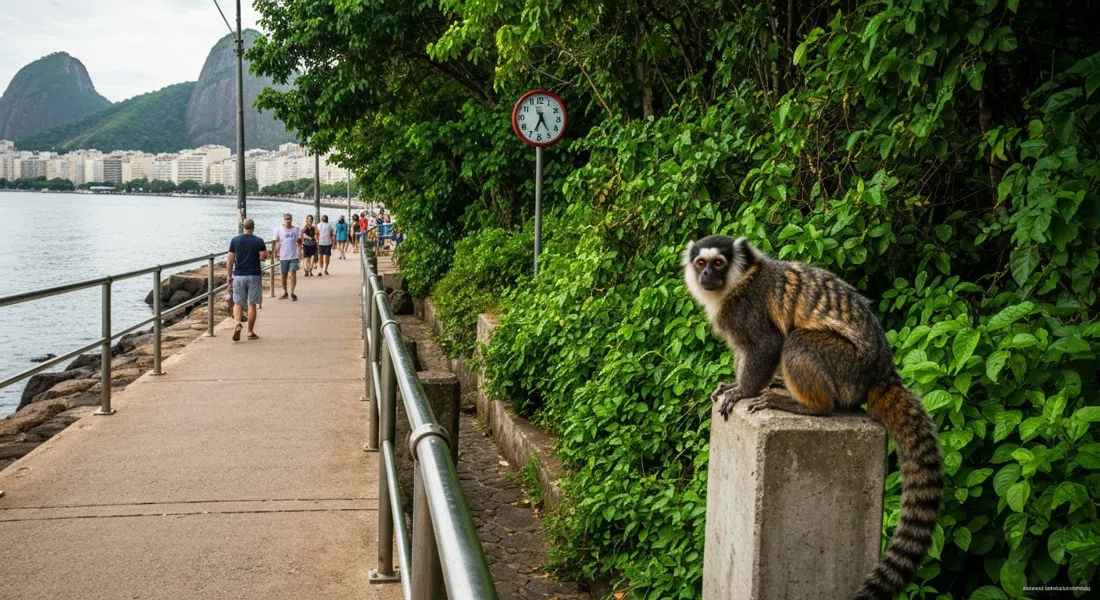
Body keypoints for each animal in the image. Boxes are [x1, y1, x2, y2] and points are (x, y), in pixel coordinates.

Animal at [682, 235, 943, 600]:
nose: (707, 277)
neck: (738, 282)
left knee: (797, 341)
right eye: (701, 264)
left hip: (846, 369)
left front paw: (743, 391)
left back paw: (809, 406)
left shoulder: (748, 307)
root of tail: (881, 372)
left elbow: (767, 345)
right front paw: (733, 384)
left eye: (718, 263)